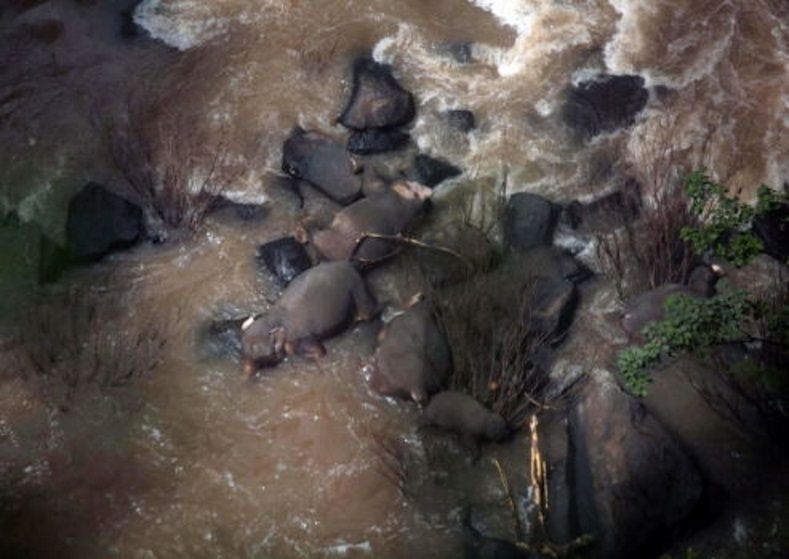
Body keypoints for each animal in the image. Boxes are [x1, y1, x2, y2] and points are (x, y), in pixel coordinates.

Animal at [240, 262, 376, 376]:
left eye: (272, 340)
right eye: (245, 351)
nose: (248, 370)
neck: (278, 320)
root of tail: (354, 266)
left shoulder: (302, 339)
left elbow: (321, 352)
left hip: (360, 294)